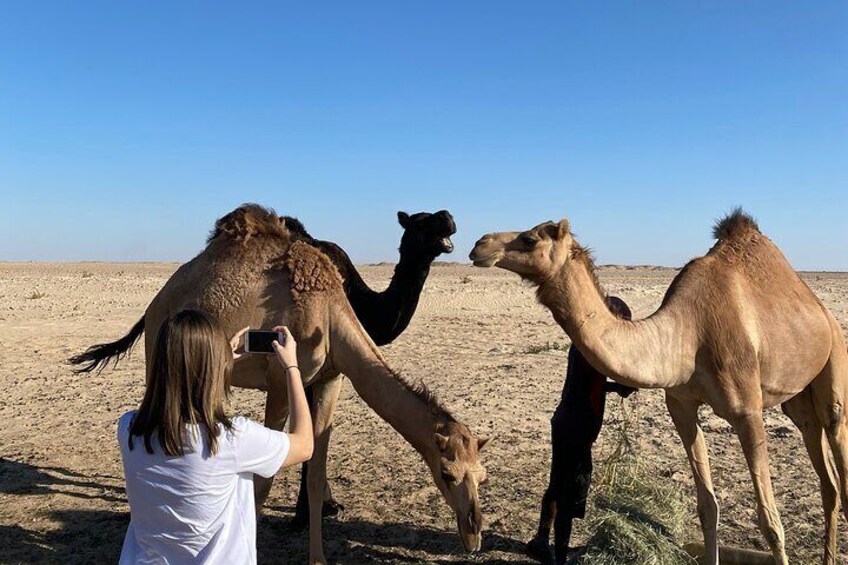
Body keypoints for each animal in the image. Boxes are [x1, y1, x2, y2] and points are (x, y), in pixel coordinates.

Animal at [470, 209, 848, 560]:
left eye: (530, 238)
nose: (479, 244)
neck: (689, 334)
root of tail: (823, 312)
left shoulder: (748, 411)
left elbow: (770, 522)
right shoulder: (681, 406)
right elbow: (707, 507)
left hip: (834, 365)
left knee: (837, 446)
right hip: (798, 401)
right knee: (827, 479)